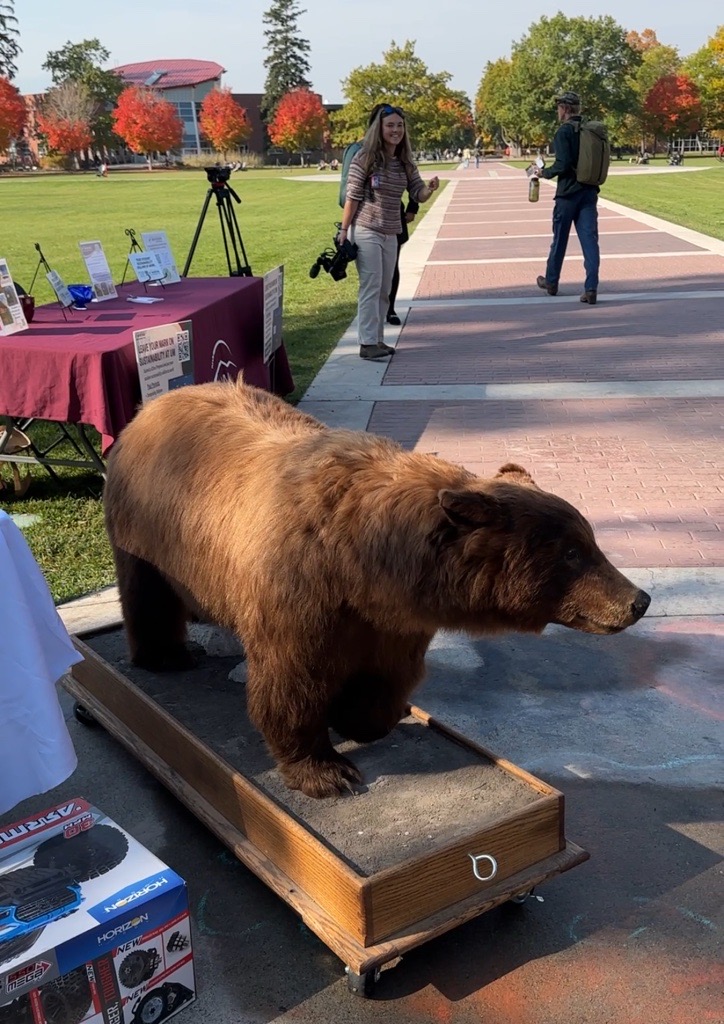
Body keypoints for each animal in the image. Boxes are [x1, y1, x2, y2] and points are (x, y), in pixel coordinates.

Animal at [103, 379, 650, 799]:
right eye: (573, 553)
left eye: (591, 541)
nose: (638, 600)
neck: (361, 564)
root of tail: (153, 404)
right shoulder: (299, 592)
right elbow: (290, 682)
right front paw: (327, 771)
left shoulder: (391, 619)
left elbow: (386, 677)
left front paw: (359, 716)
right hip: (149, 527)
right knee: (148, 596)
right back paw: (168, 655)